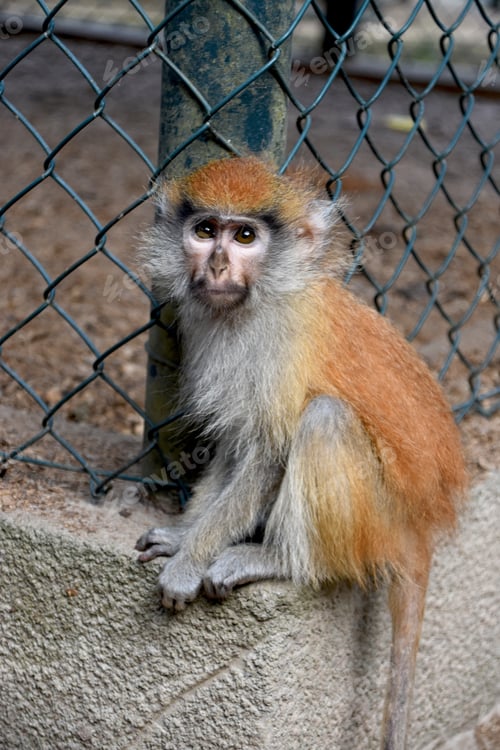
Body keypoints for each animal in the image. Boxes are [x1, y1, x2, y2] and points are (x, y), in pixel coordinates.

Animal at [136, 156, 467, 750]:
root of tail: (421, 527)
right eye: (205, 230)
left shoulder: (280, 343)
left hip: (379, 520)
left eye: (245, 236)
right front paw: (182, 534)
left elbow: (269, 452)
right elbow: (237, 443)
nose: (218, 264)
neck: (265, 296)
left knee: (325, 419)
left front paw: (189, 560)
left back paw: (279, 561)